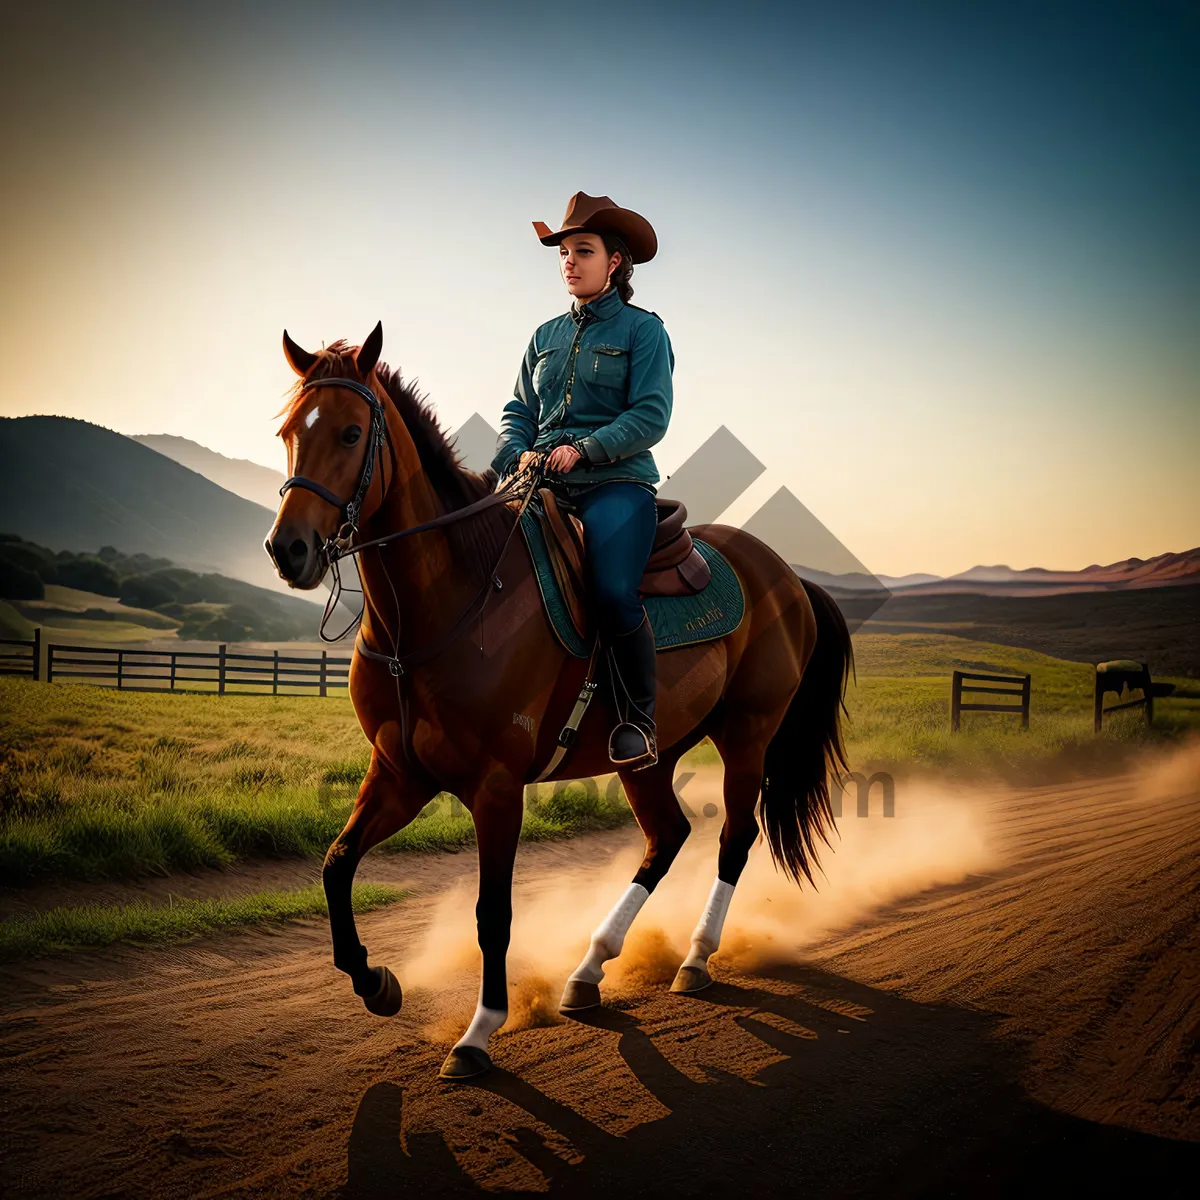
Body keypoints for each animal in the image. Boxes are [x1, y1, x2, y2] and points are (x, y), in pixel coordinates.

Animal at [267, 324, 849, 1084]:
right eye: (287, 433)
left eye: (349, 432)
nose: (288, 549)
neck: (448, 602)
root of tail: (788, 576)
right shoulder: (399, 774)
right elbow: (336, 866)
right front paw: (378, 984)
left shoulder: (496, 786)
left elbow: (492, 911)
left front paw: (479, 1031)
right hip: (648, 756)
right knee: (667, 837)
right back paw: (588, 971)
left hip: (748, 735)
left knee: (732, 839)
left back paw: (694, 960)